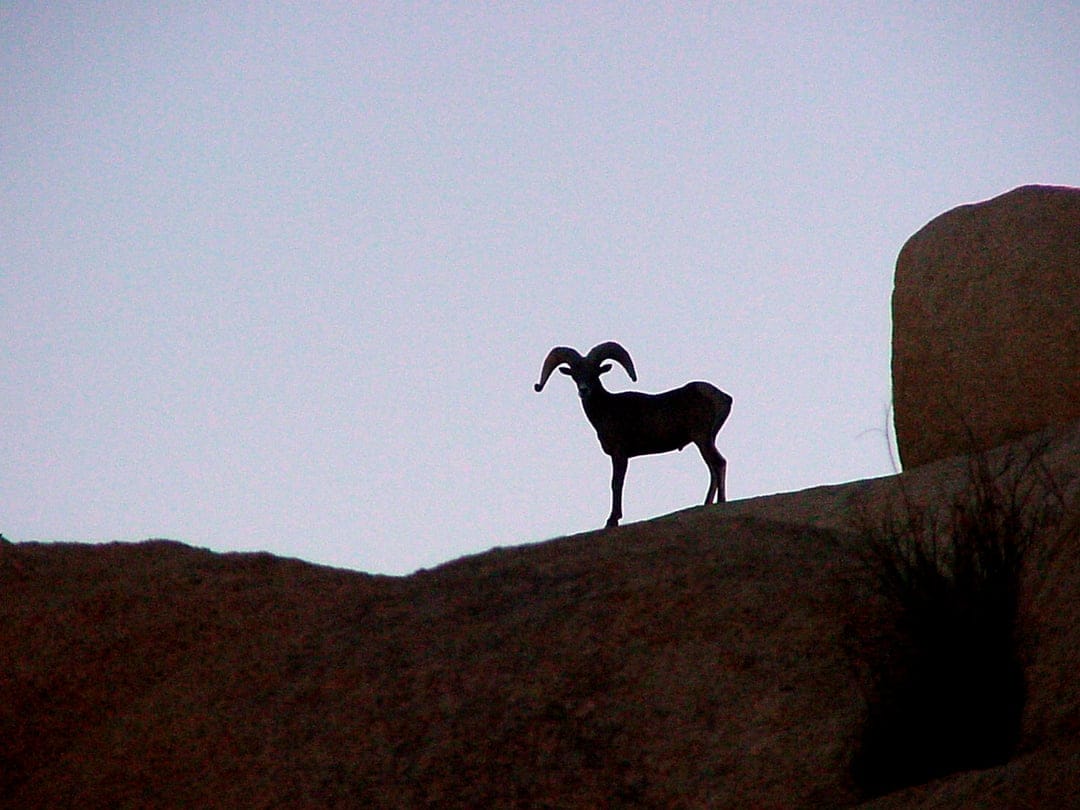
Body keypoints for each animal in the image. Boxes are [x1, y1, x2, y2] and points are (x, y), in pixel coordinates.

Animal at [534, 341, 732, 528]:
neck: (606, 409)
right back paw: (707, 503)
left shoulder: (620, 454)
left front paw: (612, 520)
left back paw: (720, 502)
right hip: (706, 441)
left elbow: (616, 483)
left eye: (595, 373)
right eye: (575, 375)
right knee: (713, 468)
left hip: (702, 439)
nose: (584, 390)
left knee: (719, 463)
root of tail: (723, 397)